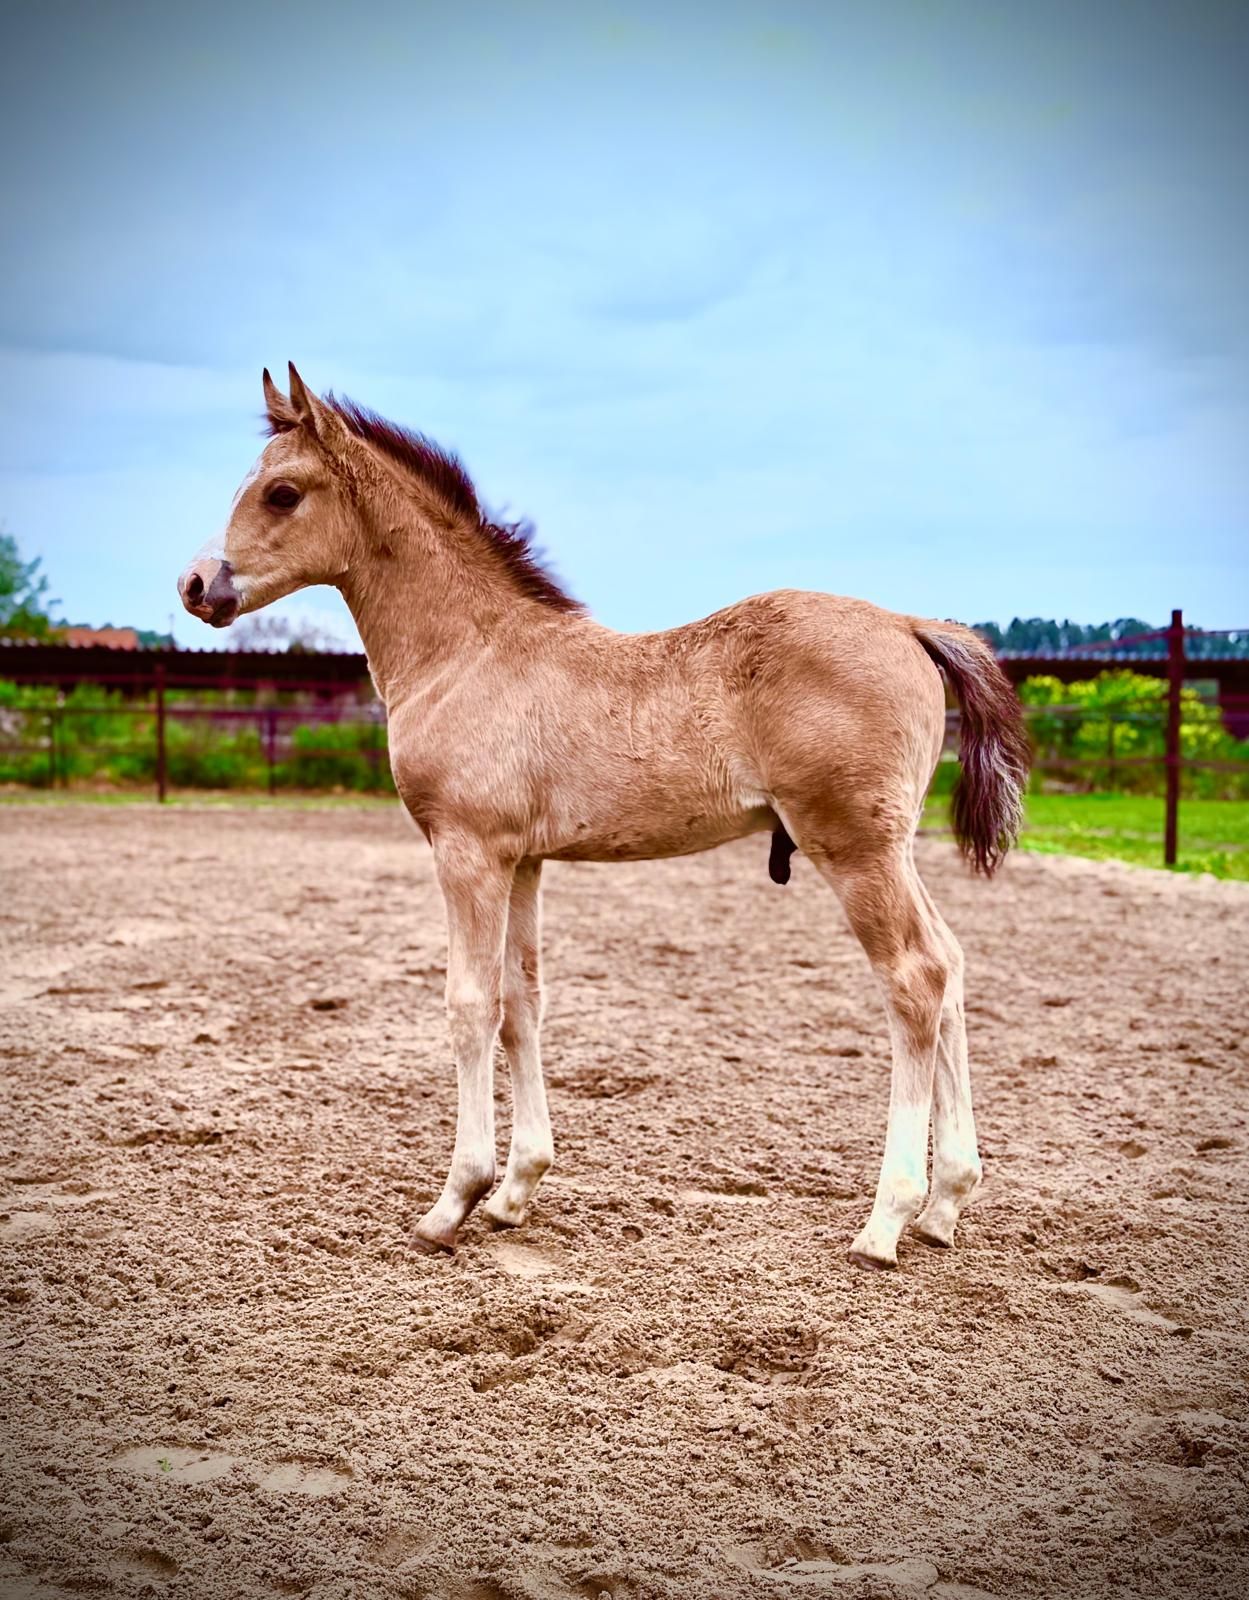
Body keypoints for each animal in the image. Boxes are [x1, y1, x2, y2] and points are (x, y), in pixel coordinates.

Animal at [177, 364, 1031, 1271]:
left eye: (281, 493)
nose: (196, 586)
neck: (468, 655)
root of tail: (908, 624)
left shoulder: (466, 851)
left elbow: (469, 1005)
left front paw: (455, 1199)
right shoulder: (521, 860)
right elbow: (523, 1002)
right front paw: (515, 1192)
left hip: (855, 847)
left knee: (916, 978)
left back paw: (887, 1219)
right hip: (890, 848)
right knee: (951, 966)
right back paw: (945, 1204)